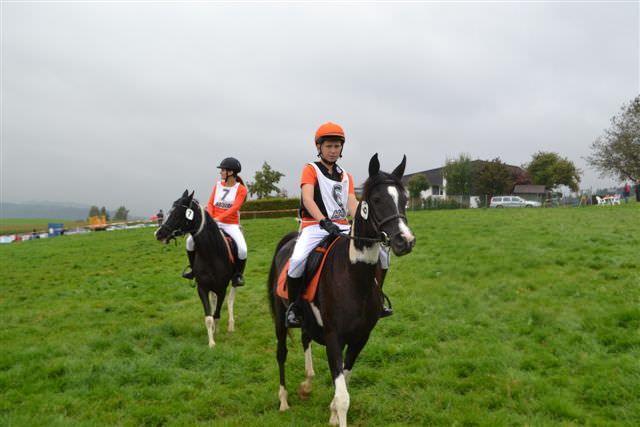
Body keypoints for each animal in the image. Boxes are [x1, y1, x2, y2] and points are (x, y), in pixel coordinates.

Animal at [155, 190, 238, 348]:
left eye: (178, 213)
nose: (159, 233)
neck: (211, 253)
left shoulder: (222, 288)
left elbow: (217, 313)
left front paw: (216, 333)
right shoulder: (202, 288)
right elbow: (209, 316)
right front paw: (211, 341)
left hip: (232, 283)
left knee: (231, 299)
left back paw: (231, 325)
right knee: (214, 301)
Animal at [267, 154, 416, 427]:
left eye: (404, 199)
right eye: (376, 200)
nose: (406, 240)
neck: (353, 279)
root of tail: (290, 239)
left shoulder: (360, 339)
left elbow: (343, 386)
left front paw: (332, 414)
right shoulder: (334, 338)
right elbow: (343, 396)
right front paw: (336, 413)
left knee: (305, 339)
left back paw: (306, 384)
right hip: (281, 320)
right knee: (281, 353)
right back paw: (283, 401)